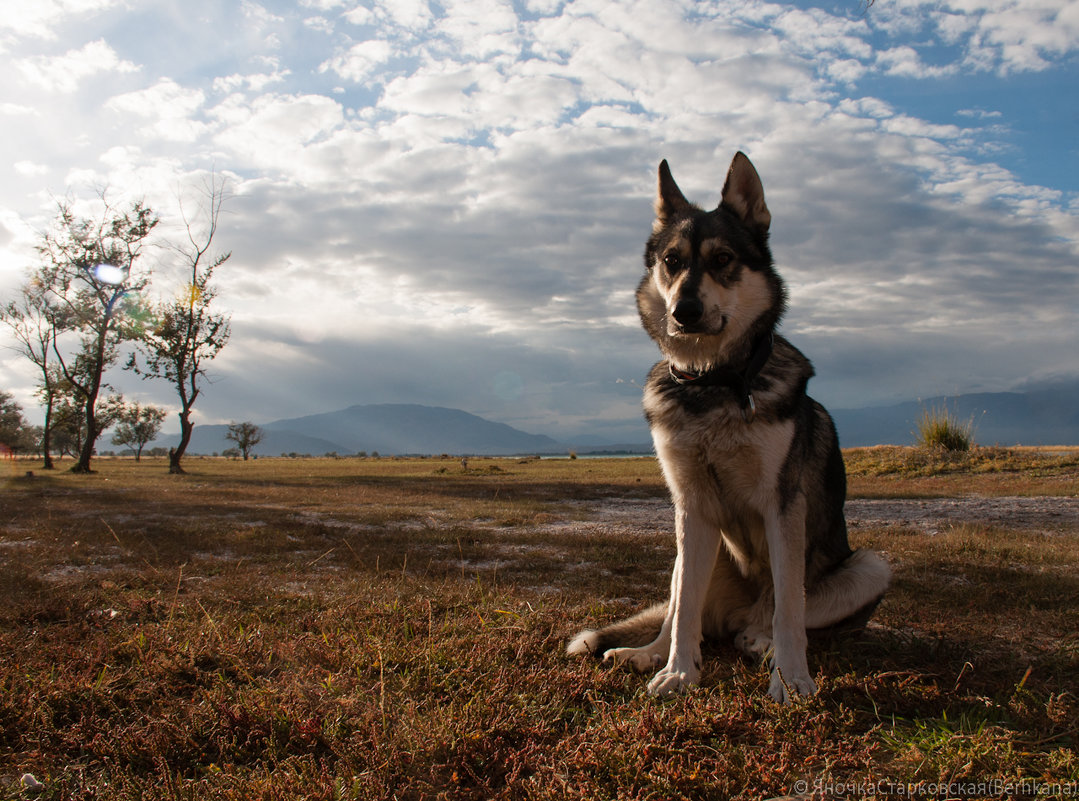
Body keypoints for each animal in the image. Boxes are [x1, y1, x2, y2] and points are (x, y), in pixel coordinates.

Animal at [569, 151, 889, 703]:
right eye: (671, 262)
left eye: (721, 260)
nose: (684, 311)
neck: (711, 386)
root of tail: (737, 615)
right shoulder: (692, 506)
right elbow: (683, 615)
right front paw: (677, 673)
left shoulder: (783, 507)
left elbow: (790, 610)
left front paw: (791, 679)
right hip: (694, 548)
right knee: (683, 610)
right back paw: (647, 653)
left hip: (871, 566)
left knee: (777, 616)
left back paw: (759, 641)